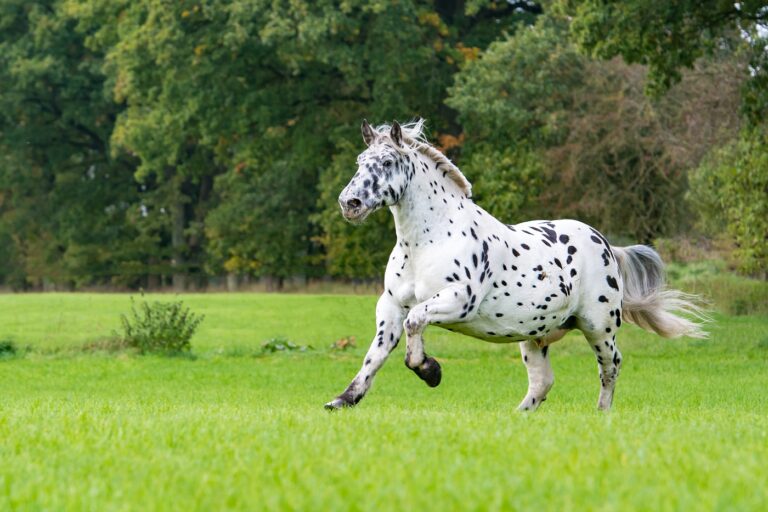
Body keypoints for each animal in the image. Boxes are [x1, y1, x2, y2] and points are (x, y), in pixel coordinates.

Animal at [320, 120, 704, 412]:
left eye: (387, 162)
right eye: (360, 161)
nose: (350, 203)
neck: (429, 240)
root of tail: (606, 243)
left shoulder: (457, 300)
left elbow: (415, 325)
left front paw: (431, 371)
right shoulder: (391, 306)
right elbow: (375, 356)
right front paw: (342, 400)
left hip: (599, 327)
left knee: (611, 368)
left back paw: (602, 413)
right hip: (535, 336)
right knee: (542, 382)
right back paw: (517, 416)